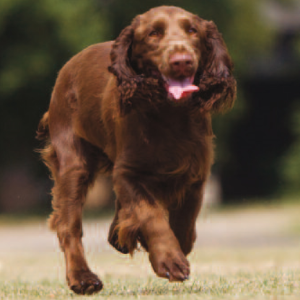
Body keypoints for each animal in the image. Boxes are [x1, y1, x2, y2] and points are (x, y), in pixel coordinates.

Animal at [36, 5, 236, 294]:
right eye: (153, 33)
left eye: (192, 31)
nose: (182, 61)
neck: (170, 113)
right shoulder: (129, 173)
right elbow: (151, 215)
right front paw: (169, 261)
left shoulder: (195, 175)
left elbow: (184, 227)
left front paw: (161, 249)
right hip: (73, 163)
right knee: (69, 226)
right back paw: (82, 278)